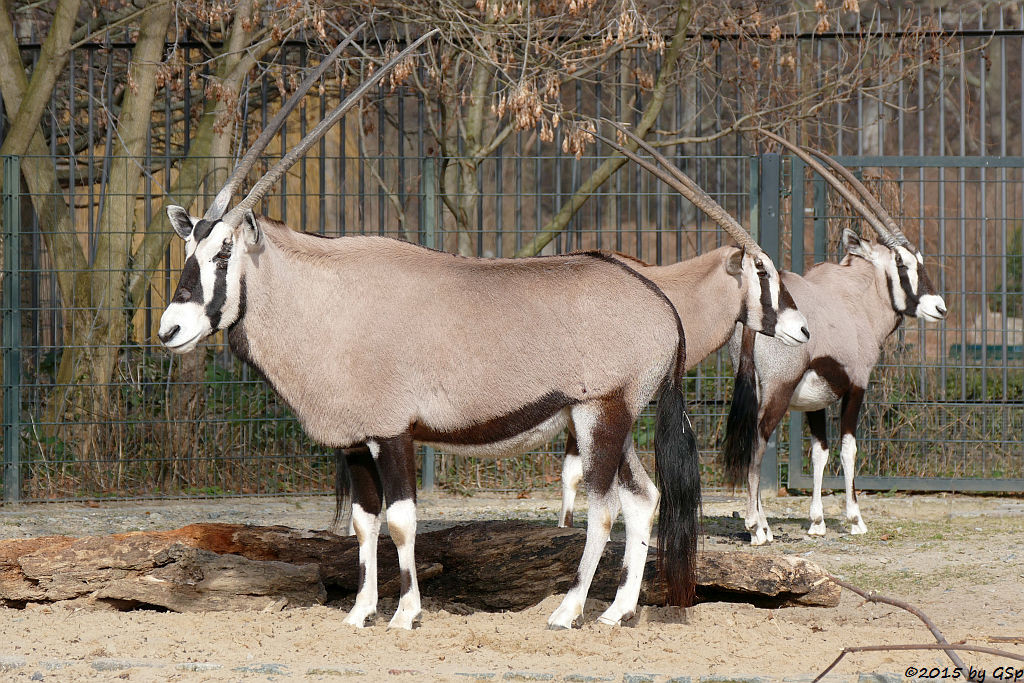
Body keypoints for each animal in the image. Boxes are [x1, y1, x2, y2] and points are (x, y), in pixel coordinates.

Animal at [161, 33, 704, 630]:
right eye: (188, 248)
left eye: (224, 251)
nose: (170, 329)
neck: (327, 298)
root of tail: (659, 302)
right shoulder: (356, 443)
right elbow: (364, 523)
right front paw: (360, 613)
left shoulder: (393, 433)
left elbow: (401, 521)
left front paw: (405, 613)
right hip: (613, 422)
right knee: (643, 498)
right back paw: (617, 611)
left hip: (599, 415)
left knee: (603, 509)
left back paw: (568, 611)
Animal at [716, 131, 946, 544]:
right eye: (902, 263)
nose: (939, 307)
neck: (855, 296)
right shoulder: (856, 386)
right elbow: (848, 449)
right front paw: (855, 519)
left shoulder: (815, 400)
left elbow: (819, 452)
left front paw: (817, 521)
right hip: (777, 389)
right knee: (758, 441)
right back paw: (756, 526)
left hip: (757, 387)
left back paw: (762, 523)